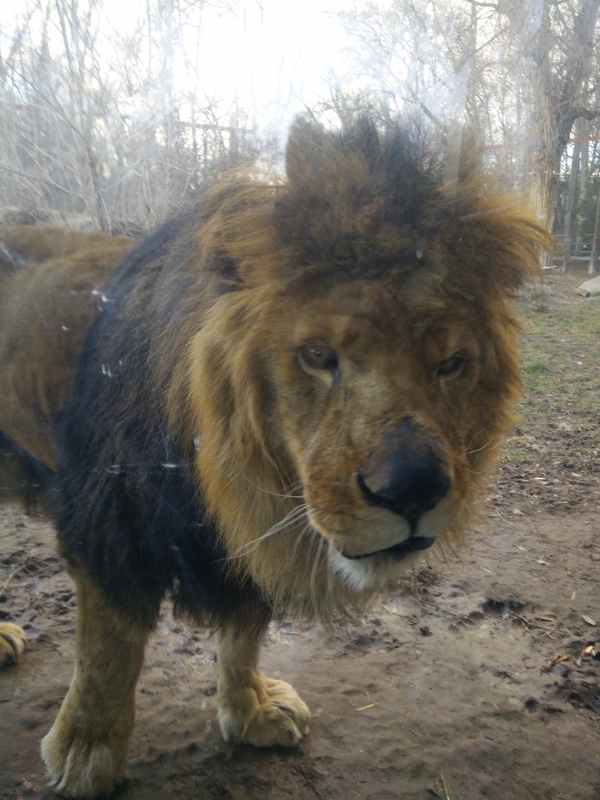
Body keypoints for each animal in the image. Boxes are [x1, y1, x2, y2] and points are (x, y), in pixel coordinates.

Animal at [1, 114, 548, 797]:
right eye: (317, 356)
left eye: (450, 364)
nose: (414, 490)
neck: (219, 472)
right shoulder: (110, 522)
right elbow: (107, 650)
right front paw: (85, 754)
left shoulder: (253, 532)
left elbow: (245, 634)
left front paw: (251, 712)